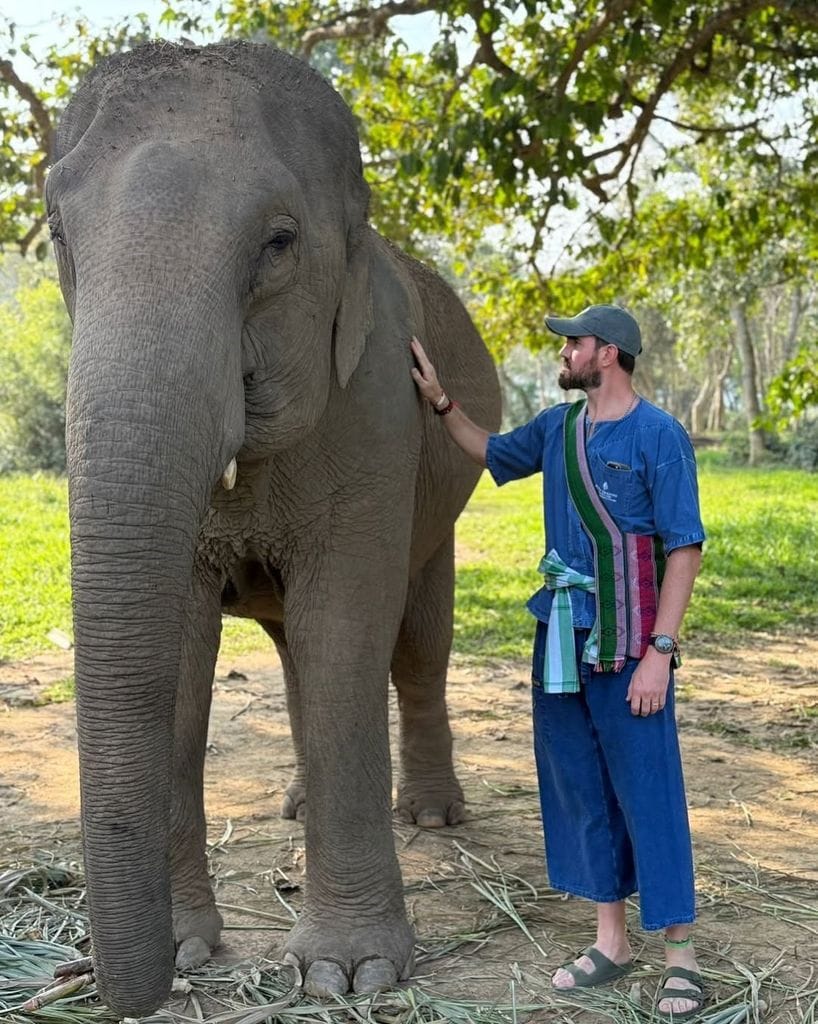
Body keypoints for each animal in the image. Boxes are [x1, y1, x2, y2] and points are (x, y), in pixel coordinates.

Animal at [48, 37, 501, 1015]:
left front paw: (347, 972)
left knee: (415, 651)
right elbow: (181, 660)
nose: (105, 982)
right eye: (58, 236)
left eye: (279, 244)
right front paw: (187, 948)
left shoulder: (378, 409)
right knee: (298, 659)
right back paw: (297, 803)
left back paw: (433, 813)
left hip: (439, 517)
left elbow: (346, 637)